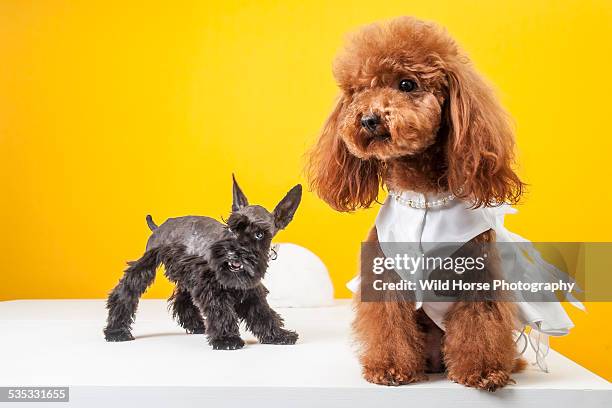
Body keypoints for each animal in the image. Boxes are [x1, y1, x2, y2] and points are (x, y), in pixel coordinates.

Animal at [104, 176, 302, 350]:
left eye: (259, 234)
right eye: (232, 227)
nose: (232, 252)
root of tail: (158, 227)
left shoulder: (251, 289)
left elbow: (262, 311)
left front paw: (278, 334)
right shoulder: (210, 286)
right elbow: (221, 310)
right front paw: (226, 339)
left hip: (186, 273)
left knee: (182, 299)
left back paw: (196, 325)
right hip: (147, 265)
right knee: (126, 291)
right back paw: (117, 331)